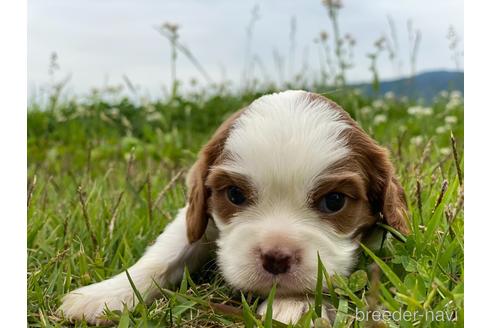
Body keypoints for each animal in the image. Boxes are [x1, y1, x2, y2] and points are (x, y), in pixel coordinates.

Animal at [59, 90, 410, 326]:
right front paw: (105, 295)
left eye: (334, 201)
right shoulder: (198, 219)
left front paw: (296, 304)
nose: (276, 256)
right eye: (236, 195)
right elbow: (165, 252)